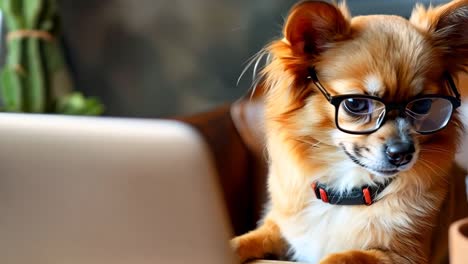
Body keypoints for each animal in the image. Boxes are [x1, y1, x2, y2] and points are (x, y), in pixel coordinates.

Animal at [230, 1, 468, 262]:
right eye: (355, 104)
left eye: (423, 105)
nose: (403, 152)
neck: (346, 192)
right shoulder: (282, 229)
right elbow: (244, 240)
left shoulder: (400, 256)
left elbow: (340, 256)